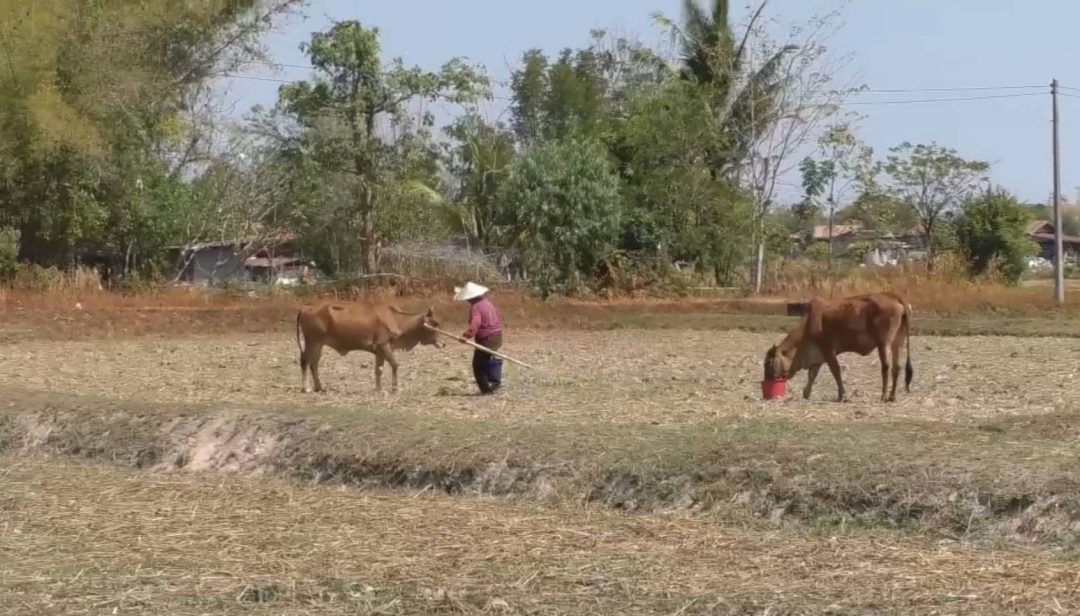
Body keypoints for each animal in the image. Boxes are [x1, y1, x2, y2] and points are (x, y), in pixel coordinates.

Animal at [295, 301, 445, 393]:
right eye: (435, 324)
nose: (443, 343)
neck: (396, 319)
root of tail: (305, 308)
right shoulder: (384, 344)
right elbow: (394, 364)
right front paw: (394, 388)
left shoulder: (379, 350)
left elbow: (379, 369)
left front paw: (378, 389)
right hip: (311, 341)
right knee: (305, 361)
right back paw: (305, 388)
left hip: (319, 344)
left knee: (314, 364)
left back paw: (319, 388)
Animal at [763, 292, 914, 402]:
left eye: (768, 363)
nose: (767, 380)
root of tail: (894, 296)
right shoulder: (817, 354)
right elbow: (812, 374)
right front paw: (806, 393)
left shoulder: (827, 350)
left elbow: (835, 371)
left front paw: (842, 395)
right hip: (898, 343)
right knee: (897, 367)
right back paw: (892, 397)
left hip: (884, 343)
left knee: (886, 367)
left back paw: (883, 396)